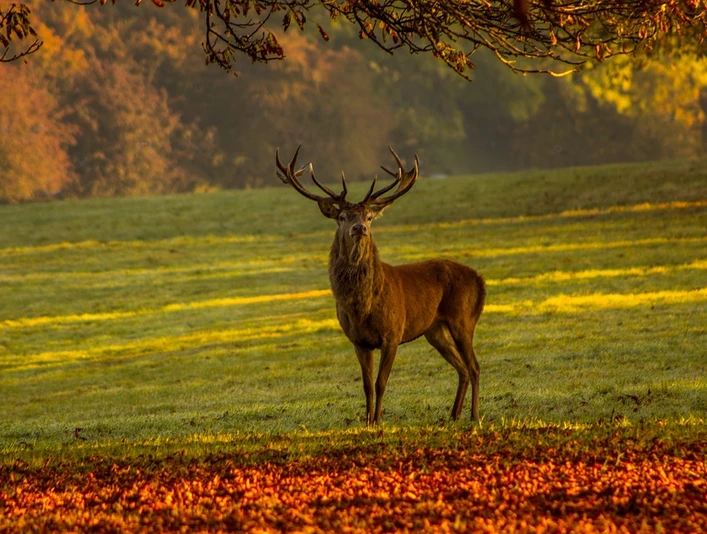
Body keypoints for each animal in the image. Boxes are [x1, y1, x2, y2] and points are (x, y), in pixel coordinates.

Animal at [276, 146, 486, 425]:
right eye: (341, 216)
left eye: (368, 216)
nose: (359, 228)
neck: (363, 307)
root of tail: (480, 279)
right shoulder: (358, 340)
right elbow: (366, 385)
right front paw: (366, 421)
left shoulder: (392, 333)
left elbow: (381, 382)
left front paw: (377, 421)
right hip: (435, 330)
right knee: (462, 367)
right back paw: (454, 414)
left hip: (463, 318)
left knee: (474, 366)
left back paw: (474, 415)